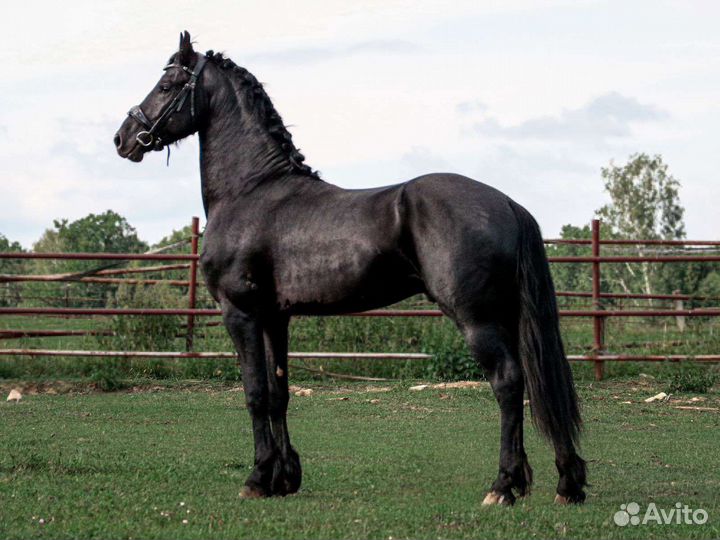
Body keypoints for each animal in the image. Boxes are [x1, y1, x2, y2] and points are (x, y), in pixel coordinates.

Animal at [114, 31, 586, 505]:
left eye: (167, 86)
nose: (123, 139)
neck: (252, 191)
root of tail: (506, 202)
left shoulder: (241, 313)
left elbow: (254, 393)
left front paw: (257, 478)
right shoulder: (274, 317)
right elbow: (278, 393)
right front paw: (284, 478)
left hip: (478, 318)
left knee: (508, 382)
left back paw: (503, 486)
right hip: (507, 314)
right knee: (535, 381)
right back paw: (566, 482)